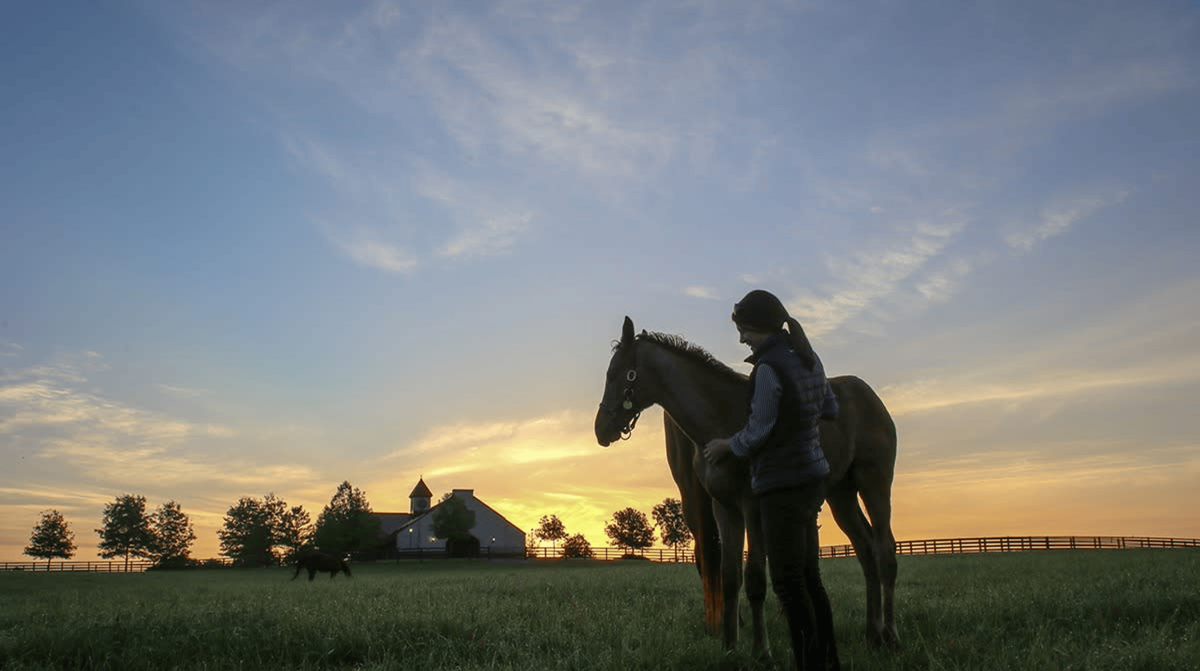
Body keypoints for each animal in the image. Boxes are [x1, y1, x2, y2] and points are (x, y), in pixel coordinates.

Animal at [595, 316, 900, 650]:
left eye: (616, 373)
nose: (601, 429)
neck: (723, 420)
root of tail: (869, 395)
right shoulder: (724, 507)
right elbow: (729, 577)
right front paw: (730, 645)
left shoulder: (753, 507)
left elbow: (754, 576)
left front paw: (761, 649)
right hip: (841, 495)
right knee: (866, 550)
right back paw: (873, 633)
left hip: (874, 483)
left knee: (885, 550)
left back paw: (890, 635)